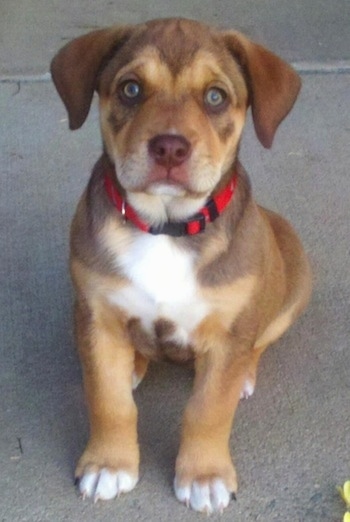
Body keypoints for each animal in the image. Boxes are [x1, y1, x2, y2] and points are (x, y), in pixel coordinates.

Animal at [50, 17, 310, 512]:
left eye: (216, 97)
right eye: (131, 89)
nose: (169, 148)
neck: (165, 228)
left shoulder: (228, 334)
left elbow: (208, 409)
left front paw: (204, 475)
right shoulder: (95, 315)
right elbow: (108, 399)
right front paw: (109, 463)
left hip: (296, 286)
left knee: (259, 342)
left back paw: (244, 374)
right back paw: (133, 364)